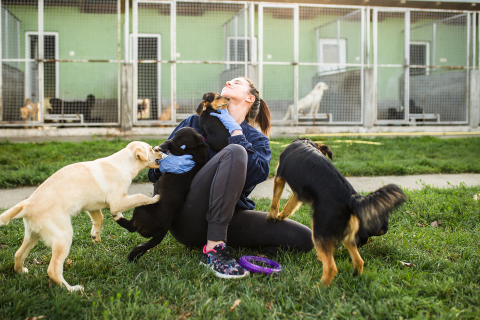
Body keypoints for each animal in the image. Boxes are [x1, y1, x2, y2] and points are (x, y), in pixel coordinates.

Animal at [0, 142, 167, 292]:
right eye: (152, 149)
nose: (161, 150)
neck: (122, 164)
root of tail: (27, 205)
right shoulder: (117, 201)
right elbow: (139, 196)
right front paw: (154, 198)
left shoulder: (92, 206)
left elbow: (99, 218)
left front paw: (95, 236)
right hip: (63, 236)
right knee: (53, 270)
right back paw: (72, 289)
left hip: (32, 235)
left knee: (18, 254)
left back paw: (21, 272)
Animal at [115, 126, 209, 262]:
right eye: (175, 134)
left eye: (182, 138)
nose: (172, 137)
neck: (197, 148)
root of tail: (161, 233)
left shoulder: (182, 151)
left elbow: (170, 144)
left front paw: (160, 147)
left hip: (141, 207)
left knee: (130, 226)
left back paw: (117, 215)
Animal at [266, 139, 404, 286]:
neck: (307, 142)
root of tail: (352, 199)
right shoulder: (299, 192)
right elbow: (290, 205)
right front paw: (281, 217)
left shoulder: (279, 177)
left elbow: (275, 201)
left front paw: (272, 216)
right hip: (348, 236)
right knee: (359, 261)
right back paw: (356, 278)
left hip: (319, 231)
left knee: (331, 268)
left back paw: (317, 287)